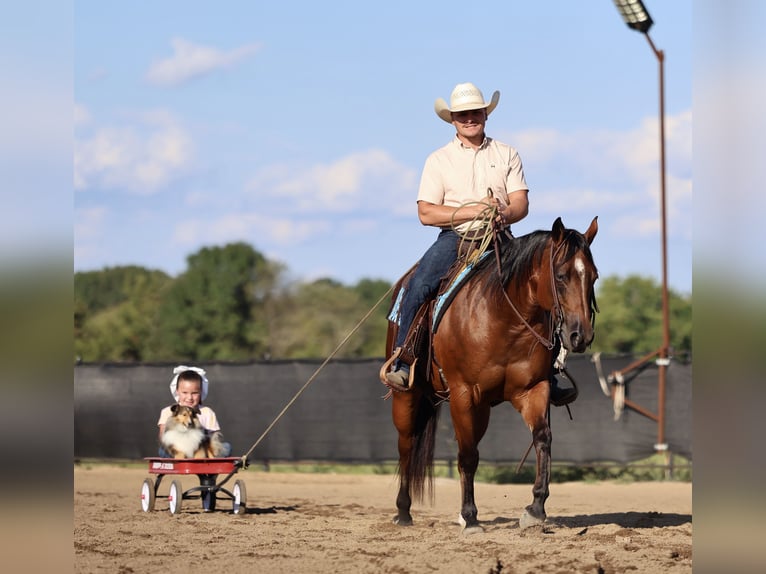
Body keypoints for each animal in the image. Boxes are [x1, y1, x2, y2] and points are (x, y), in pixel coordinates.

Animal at [386, 216, 599, 534]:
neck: (503, 318)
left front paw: (535, 508)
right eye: (561, 276)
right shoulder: (463, 393)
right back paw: (403, 512)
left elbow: (542, 438)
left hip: (482, 408)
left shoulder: (533, 389)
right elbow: (467, 455)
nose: (580, 335)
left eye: (593, 277)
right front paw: (471, 517)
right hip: (408, 394)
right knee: (407, 445)